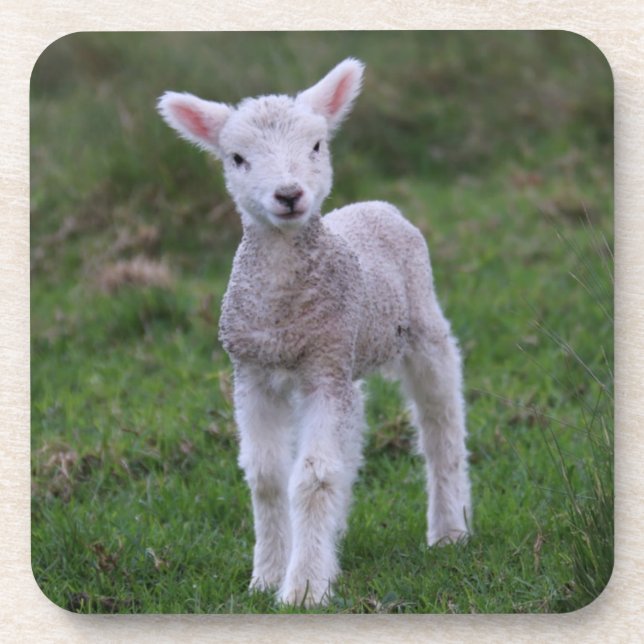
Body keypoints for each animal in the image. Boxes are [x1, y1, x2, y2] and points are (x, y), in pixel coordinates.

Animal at [157, 58, 471, 607]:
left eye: (317, 145)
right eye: (237, 158)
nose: (288, 195)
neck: (283, 310)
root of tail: (376, 205)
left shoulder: (323, 369)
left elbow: (313, 478)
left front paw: (303, 588)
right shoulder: (254, 373)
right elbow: (267, 477)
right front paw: (266, 576)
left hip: (421, 326)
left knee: (441, 423)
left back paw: (449, 530)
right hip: (348, 358)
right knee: (354, 434)